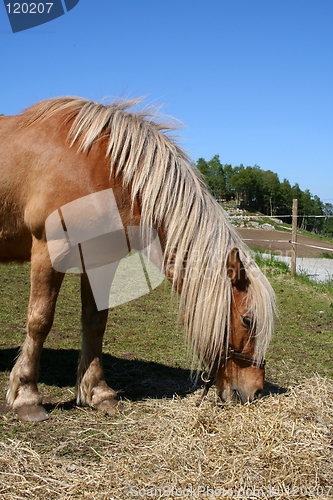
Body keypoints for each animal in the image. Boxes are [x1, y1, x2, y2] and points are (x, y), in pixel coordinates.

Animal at [0, 95, 274, 420]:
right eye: (247, 320)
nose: (255, 391)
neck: (103, 170)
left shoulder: (99, 261)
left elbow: (95, 323)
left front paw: (98, 393)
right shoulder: (48, 249)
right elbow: (40, 320)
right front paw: (27, 396)